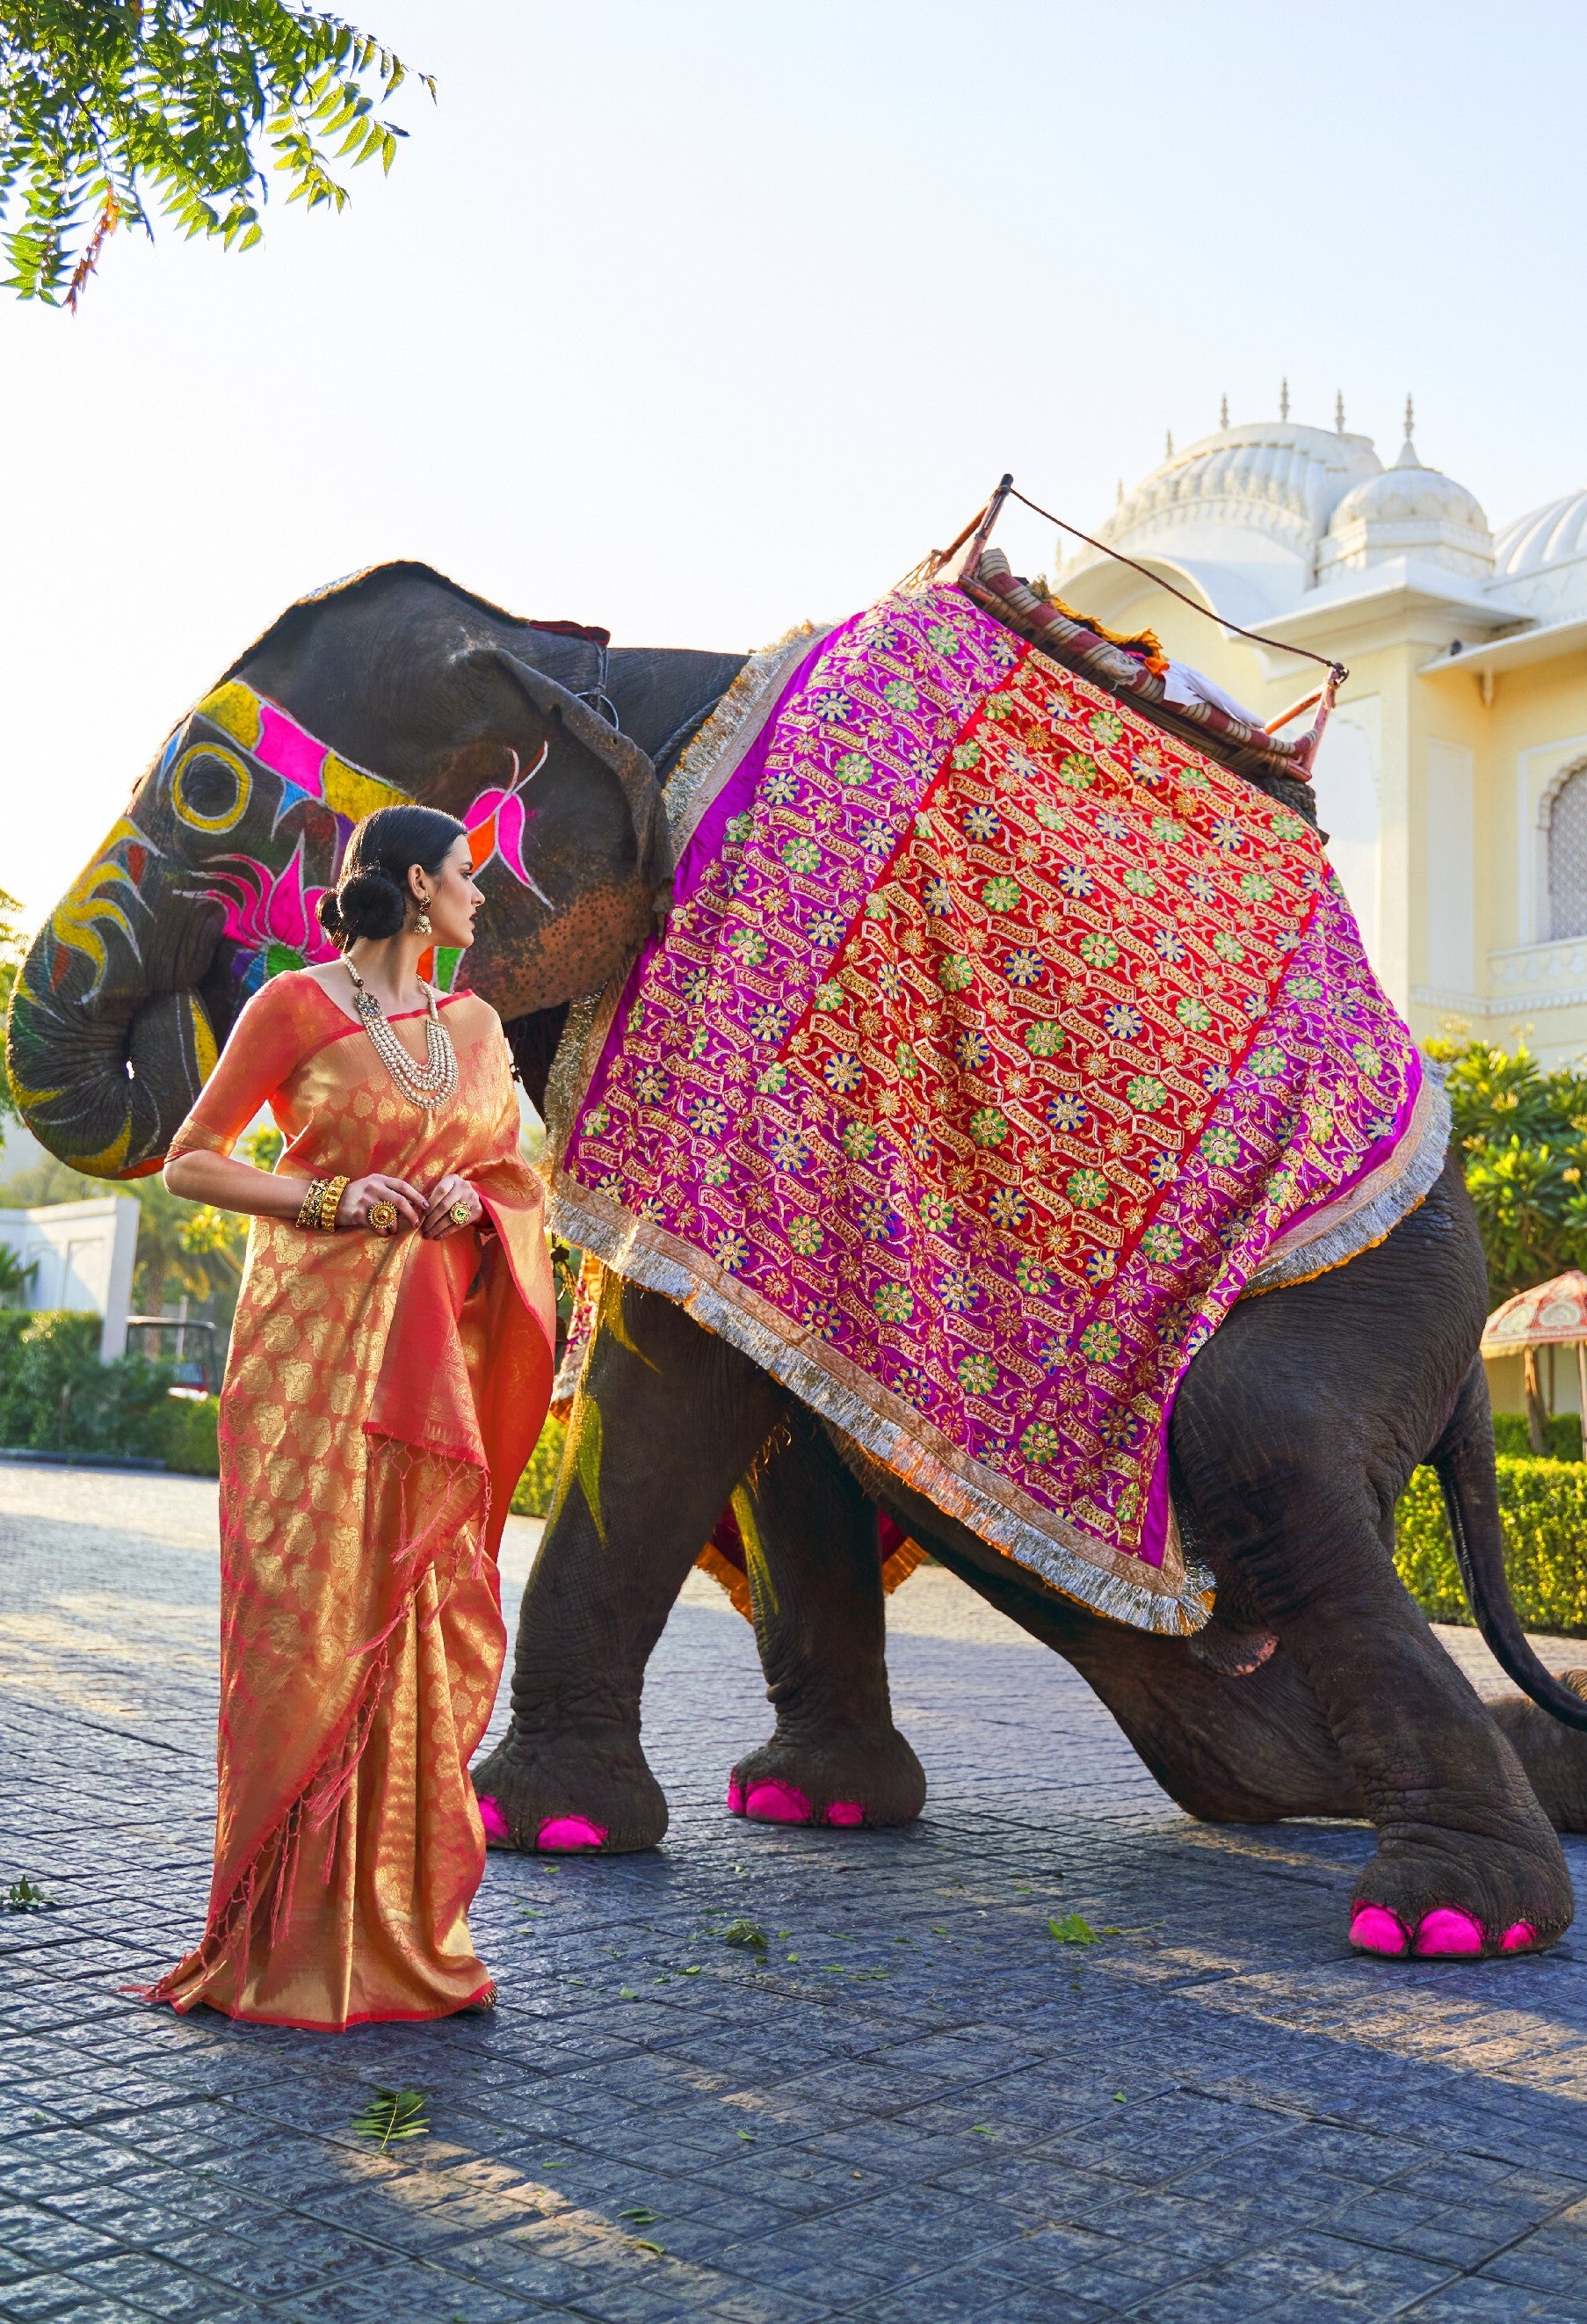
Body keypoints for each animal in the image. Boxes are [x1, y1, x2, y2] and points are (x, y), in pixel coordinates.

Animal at [18, 557, 1587, 1961]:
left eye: (202, 793)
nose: (218, 1007)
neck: (585, 650)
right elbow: (756, 1390)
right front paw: (788, 1812)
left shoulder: (732, 998)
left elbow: (673, 1367)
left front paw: (537, 1829)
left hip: (1379, 1286)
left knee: (1255, 1445)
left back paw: (1448, 1922)